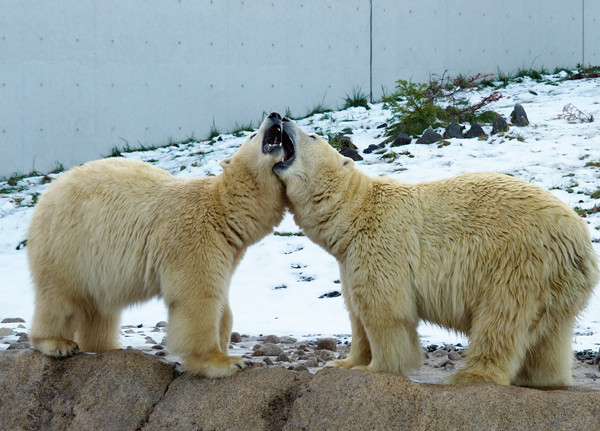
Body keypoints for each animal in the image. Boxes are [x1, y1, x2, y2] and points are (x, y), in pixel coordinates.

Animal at [29, 113, 292, 380]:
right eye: (252, 135)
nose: (275, 115)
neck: (223, 211)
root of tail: (48, 192)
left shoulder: (228, 251)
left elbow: (221, 302)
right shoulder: (193, 238)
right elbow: (197, 298)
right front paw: (225, 362)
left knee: (101, 306)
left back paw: (106, 346)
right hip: (68, 242)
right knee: (61, 296)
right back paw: (57, 343)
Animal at [276, 118, 600, 388]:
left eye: (313, 135)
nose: (282, 118)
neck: (355, 214)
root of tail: (580, 241)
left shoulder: (381, 246)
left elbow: (385, 312)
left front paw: (374, 368)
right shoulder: (350, 260)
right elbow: (356, 313)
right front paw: (343, 362)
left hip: (519, 262)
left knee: (500, 319)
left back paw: (469, 375)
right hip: (556, 283)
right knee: (551, 336)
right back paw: (543, 379)